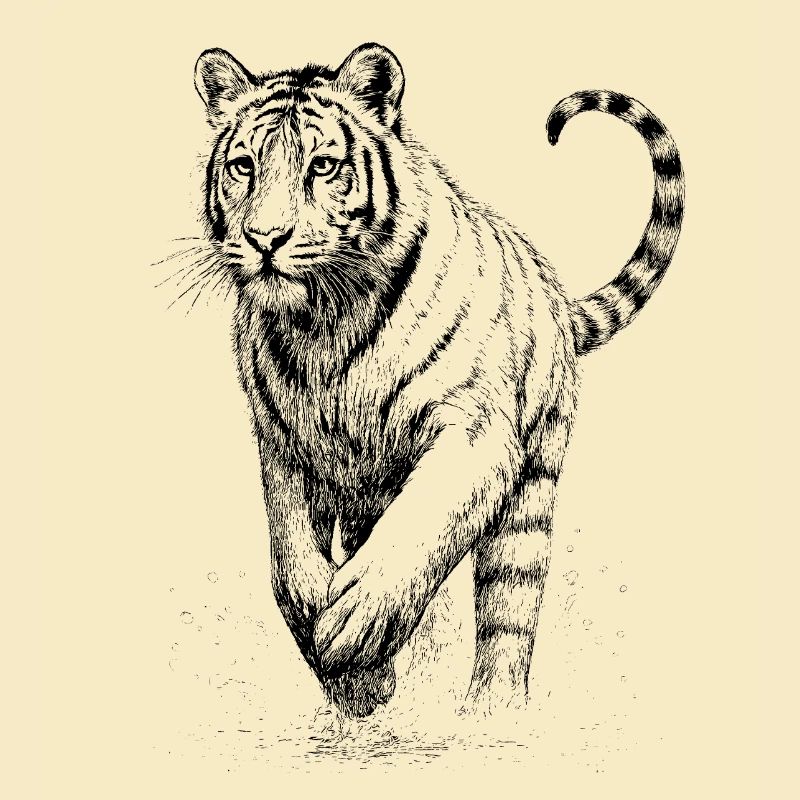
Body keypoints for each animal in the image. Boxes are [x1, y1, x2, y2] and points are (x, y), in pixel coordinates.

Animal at [189, 43, 684, 718]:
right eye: (243, 166)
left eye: (322, 166)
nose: (265, 239)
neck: (323, 323)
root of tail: (556, 295)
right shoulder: (283, 443)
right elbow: (290, 561)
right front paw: (351, 676)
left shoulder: (474, 433)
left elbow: (419, 528)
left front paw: (356, 626)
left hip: (532, 490)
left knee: (508, 606)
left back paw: (491, 712)